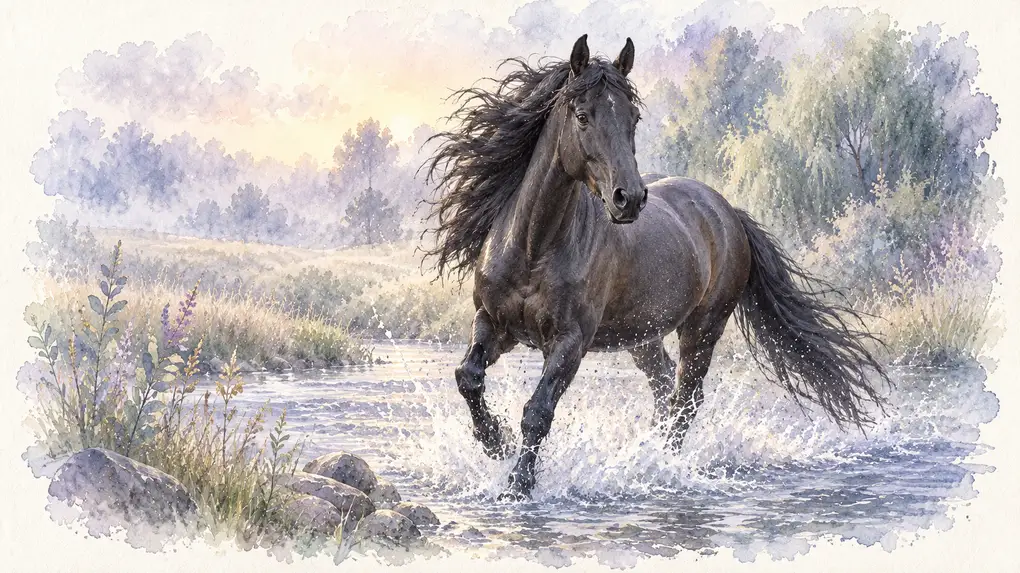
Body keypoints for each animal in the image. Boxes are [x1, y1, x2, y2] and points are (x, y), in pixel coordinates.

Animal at [424, 35, 888, 500]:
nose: (628, 199)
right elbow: (468, 377)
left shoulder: (570, 342)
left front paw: (517, 487)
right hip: (643, 337)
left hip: (702, 329)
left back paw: (661, 465)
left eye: (633, 116)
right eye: (582, 116)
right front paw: (496, 444)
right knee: (664, 388)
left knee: (685, 400)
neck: (533, 248)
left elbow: (538, 411)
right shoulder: (493, 323)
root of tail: (728, 212)